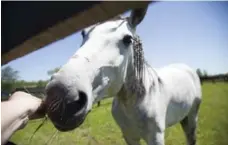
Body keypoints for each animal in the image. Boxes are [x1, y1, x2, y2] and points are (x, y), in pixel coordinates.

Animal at [44, 5, 201, 144]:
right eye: (83, 34)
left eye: (128, 39)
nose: (61, 96)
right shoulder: (129, 136)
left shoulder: (156, 137)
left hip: (192, 118)